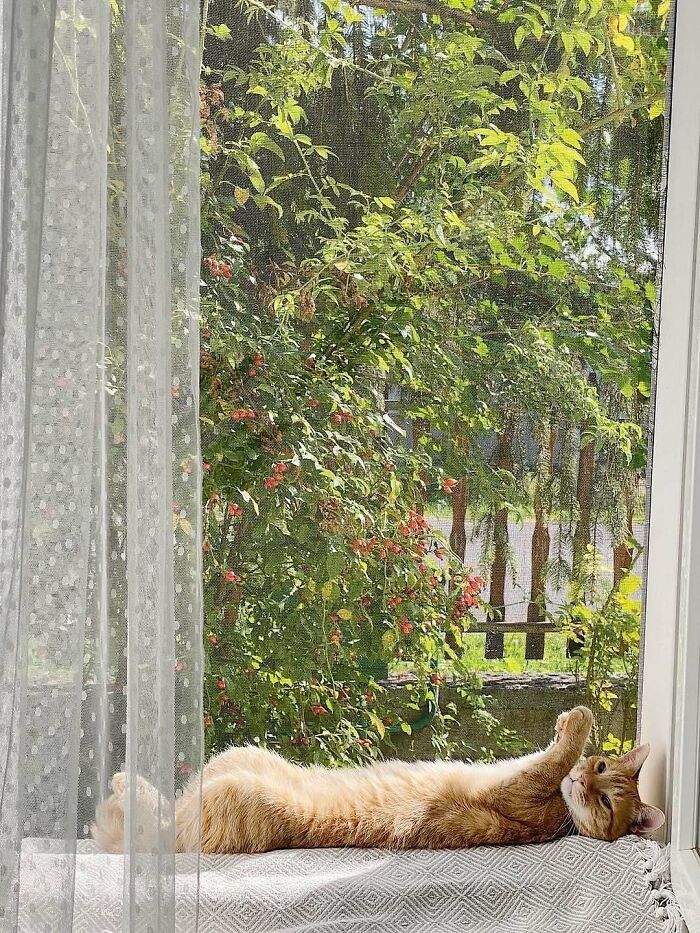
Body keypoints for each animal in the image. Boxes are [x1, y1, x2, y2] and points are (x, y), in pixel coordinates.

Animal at [91, 706, 664, 854]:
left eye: (606, 805)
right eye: (602, 769)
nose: (584, 783)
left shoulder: (516, 790)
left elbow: (560, 747)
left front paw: (576, 718)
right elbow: (557, 750)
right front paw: (571, 726)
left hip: (235, 795)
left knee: (158, 823)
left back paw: (123, 788)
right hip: (240, 758)